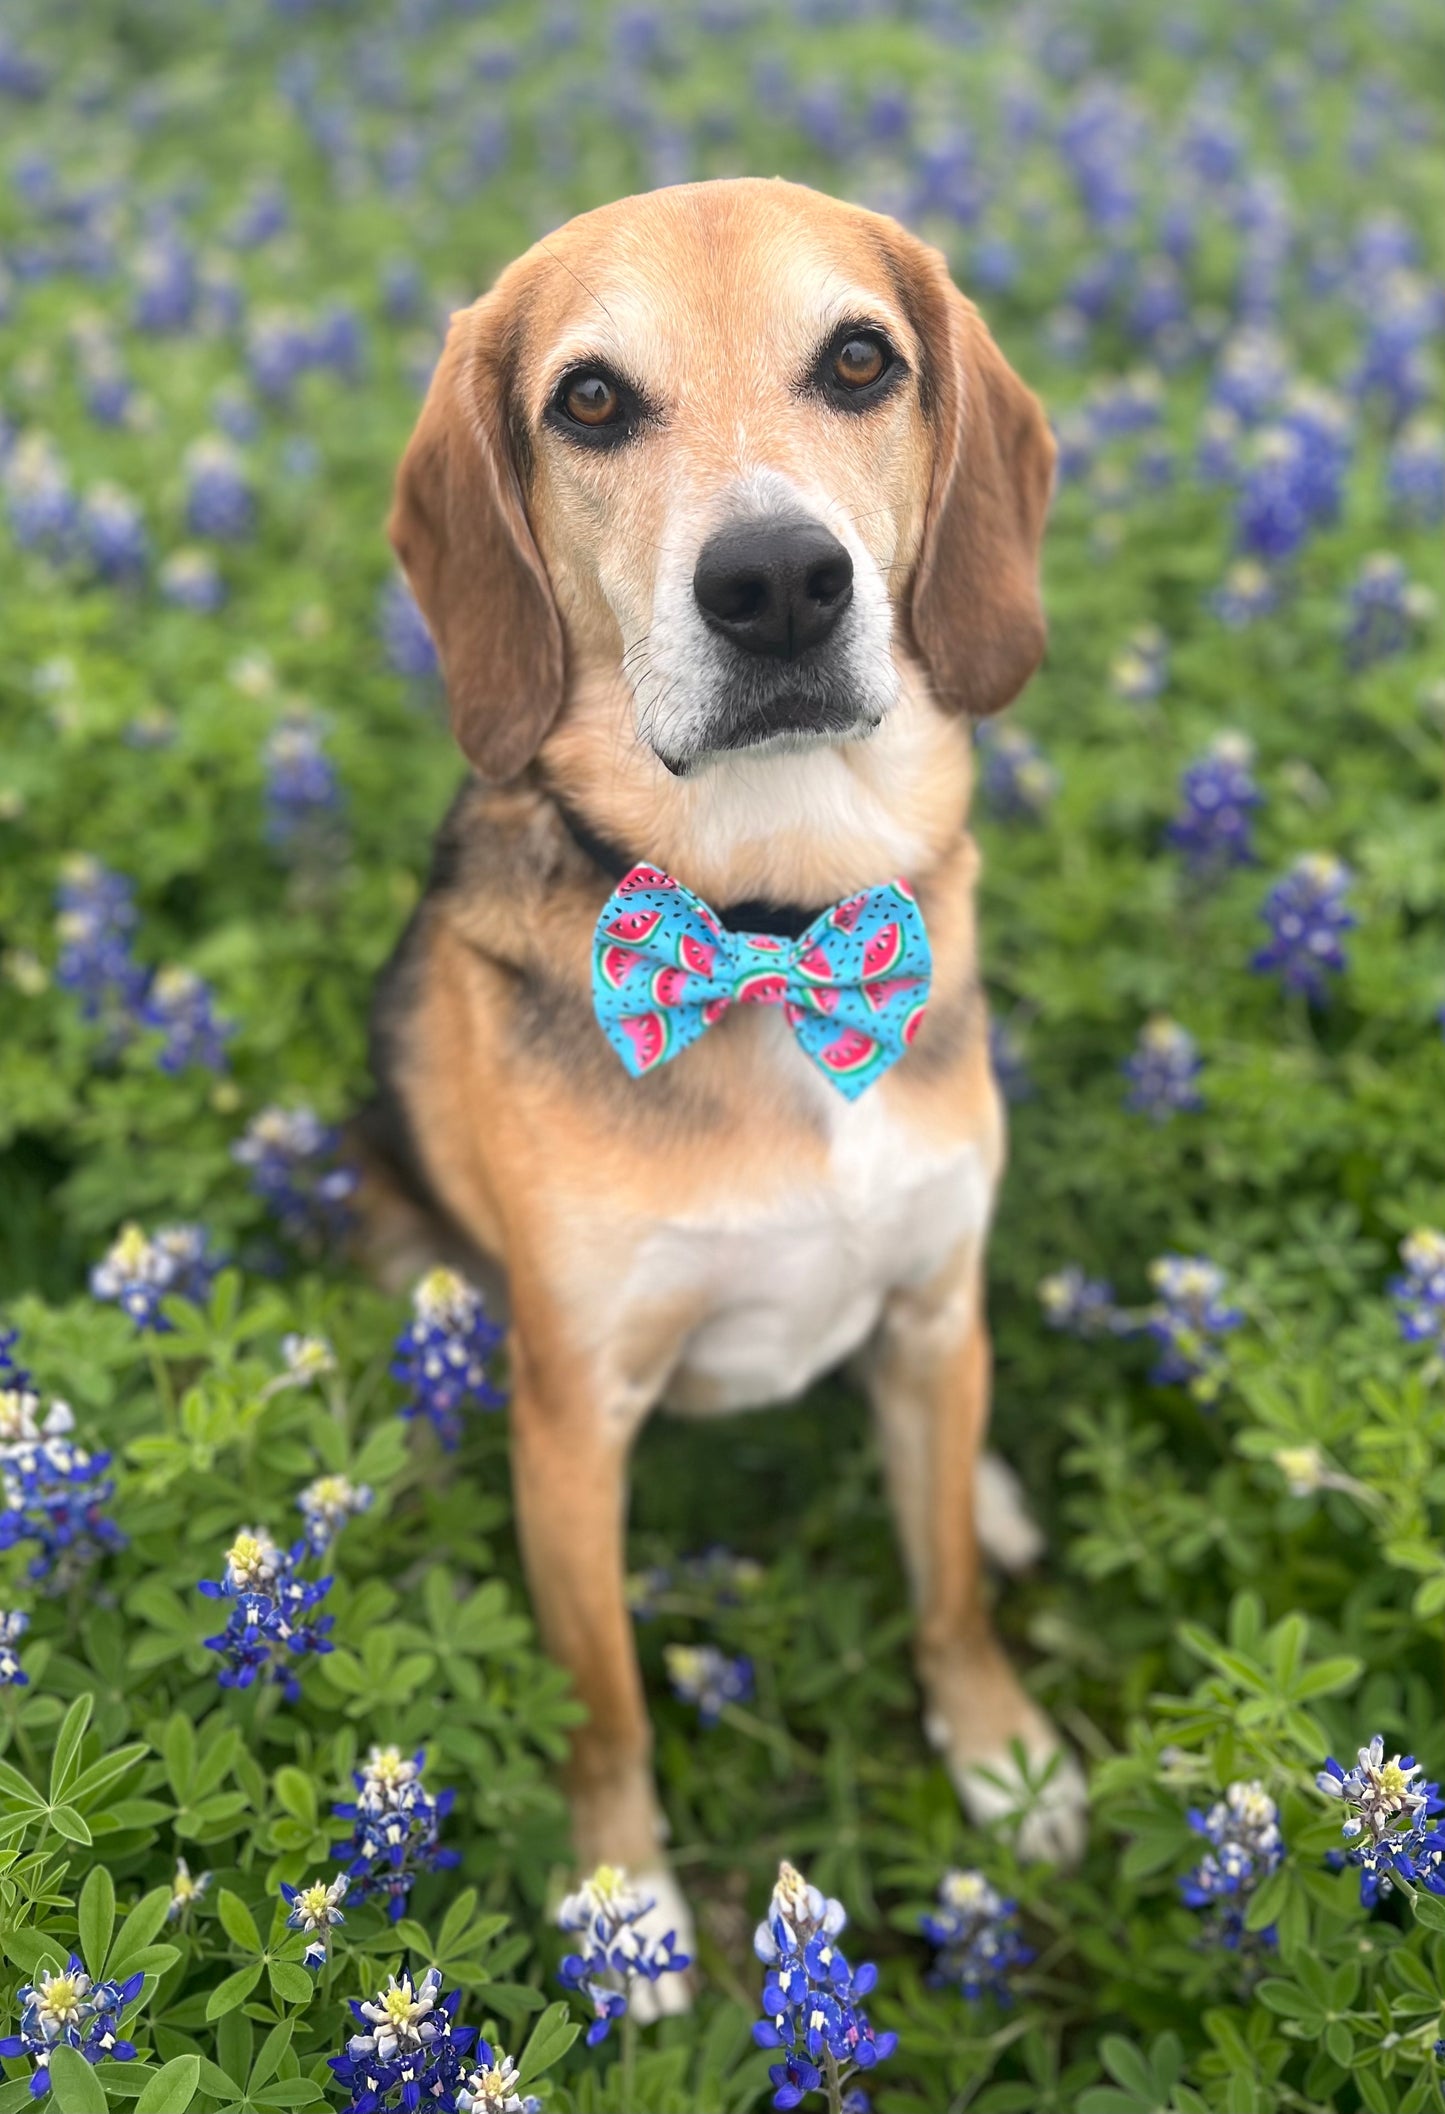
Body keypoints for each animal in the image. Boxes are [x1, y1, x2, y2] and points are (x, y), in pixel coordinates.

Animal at [359, 173, 1081, 1987]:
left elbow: (947, 1590)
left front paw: (1005, 1754)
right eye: (589, 400)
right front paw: (625, 1903)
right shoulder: (573, 1413)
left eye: (859, 359)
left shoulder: (927, 1294)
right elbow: (603, 1698)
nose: (775, 581)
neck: (773, 922)